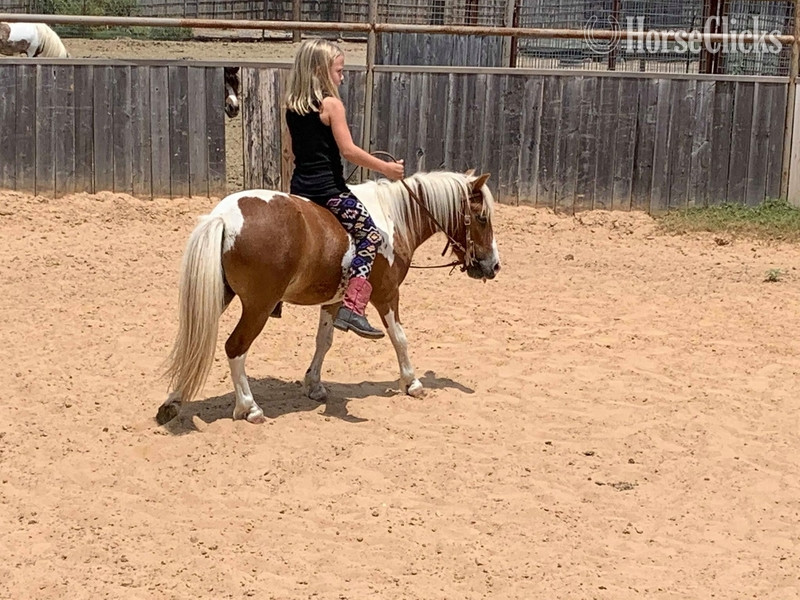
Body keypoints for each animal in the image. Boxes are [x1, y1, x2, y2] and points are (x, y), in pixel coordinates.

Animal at [158, 169, 500, 425]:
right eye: (482, 217)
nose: (493, 266)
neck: (393, 217)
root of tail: (224, 217)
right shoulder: (387, 295)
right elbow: (400, 338)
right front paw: (412, 382)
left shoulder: (335, 300)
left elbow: (324, 341)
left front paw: (315, 385)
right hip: (258, 307)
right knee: (234, 347)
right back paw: (249, 407)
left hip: (220, 297)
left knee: (194, 341)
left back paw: (173, 401)